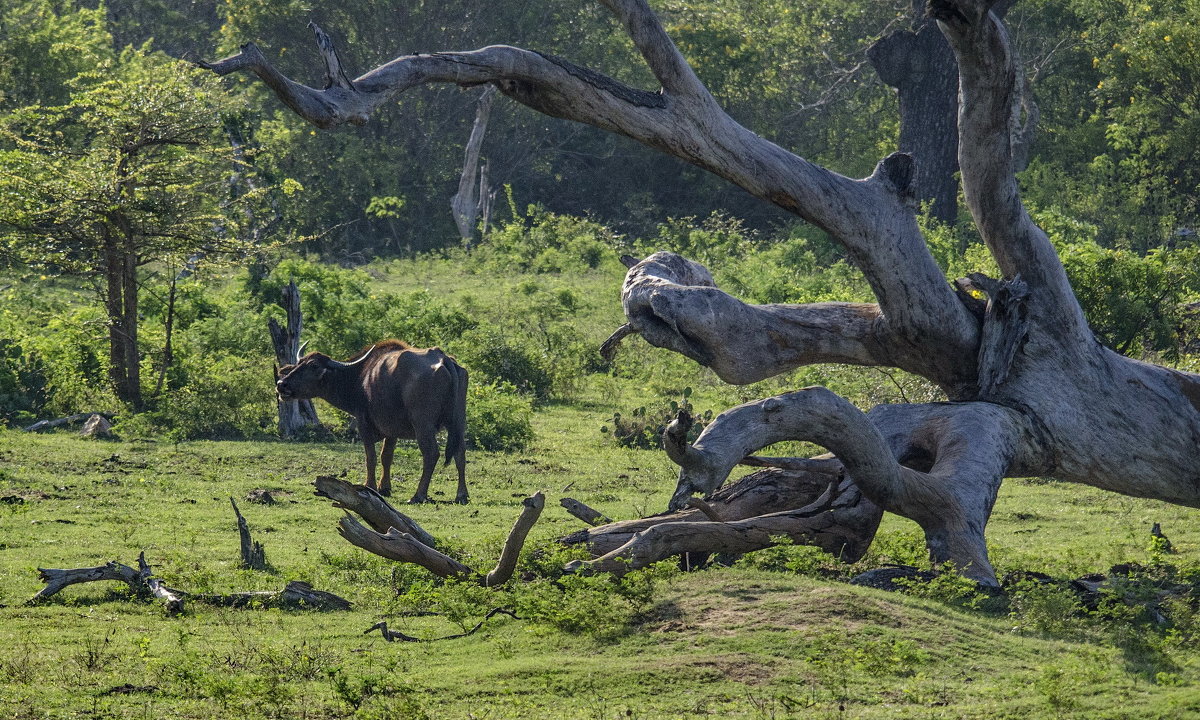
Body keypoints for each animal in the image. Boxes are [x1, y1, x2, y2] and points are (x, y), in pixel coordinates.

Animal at [276, 340, 468, 504]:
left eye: (314, 366)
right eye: (299, 363)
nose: (281, 384)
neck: (360, 377)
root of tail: (443, 358)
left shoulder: (364, 424)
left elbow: (371, 457)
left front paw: (370, 486)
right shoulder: (391, 430)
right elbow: (386, 456)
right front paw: (385, 487)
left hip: (423, 424)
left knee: (431, 453)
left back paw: (418, 495)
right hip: (458, 422)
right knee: (460, 453)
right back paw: (462, 495)